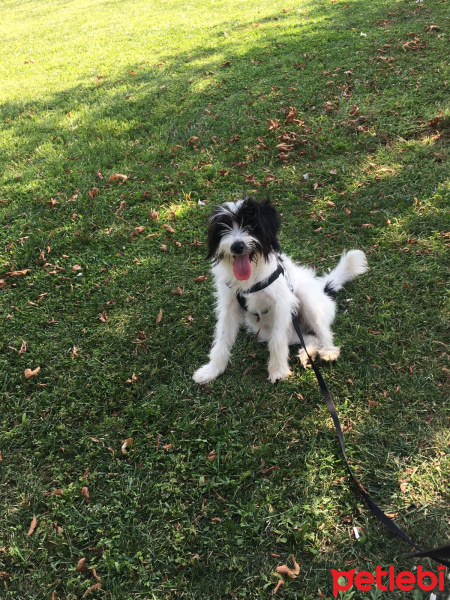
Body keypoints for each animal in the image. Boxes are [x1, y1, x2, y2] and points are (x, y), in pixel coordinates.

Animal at [192, 198, 368, 384]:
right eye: (224, 227)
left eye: (251, 224)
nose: (237, 246)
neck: (252, 278)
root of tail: (322, 289)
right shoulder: (229, 306)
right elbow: (222, 337)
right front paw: (212, 370)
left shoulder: (281, 304)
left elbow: (277, 340)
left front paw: (278, 371)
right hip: (274, 331)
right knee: (311, 338)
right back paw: (307, 354)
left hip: (307, 301)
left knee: (323, 333)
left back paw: (328, 351)